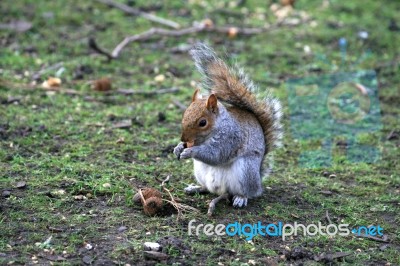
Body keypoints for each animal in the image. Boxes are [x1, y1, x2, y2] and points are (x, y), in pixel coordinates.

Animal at [173, 43, 282, 214]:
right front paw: (178, 148)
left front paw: (190, 151)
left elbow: (216, 154)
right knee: (208, 188)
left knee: (247, 192)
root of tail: (258, 180)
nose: (183, 139)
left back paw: (241, 198)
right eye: (184, 114)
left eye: (203, 122)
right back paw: (196, 188)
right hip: (200, 171)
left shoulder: (231, 137)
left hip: (246, 170)